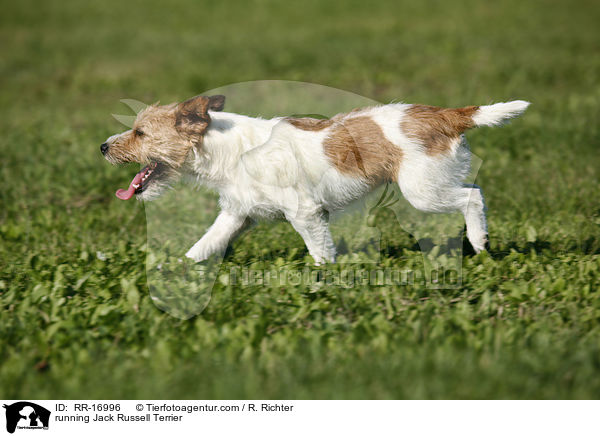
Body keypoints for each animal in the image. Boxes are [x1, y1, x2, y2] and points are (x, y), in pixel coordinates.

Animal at [103, 95, 528, 262]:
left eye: (140, 133)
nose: (103, 146)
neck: (228, 148)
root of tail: (444, 114)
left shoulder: (305, 214)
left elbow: (321, 253)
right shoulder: (237, 215)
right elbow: (203, 246)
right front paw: (178, 273)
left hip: (424, 192)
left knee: (473, 197)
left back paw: (479, 240)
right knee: (475, 189)